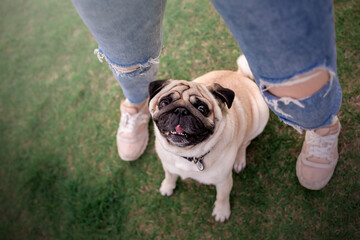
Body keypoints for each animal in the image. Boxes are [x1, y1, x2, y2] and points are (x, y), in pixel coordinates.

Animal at [148, 55, 268, 222]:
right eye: (164, 103)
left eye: (201, 109)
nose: (180, 110)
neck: (188, 155)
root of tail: (240, 75)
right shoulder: (168, 166)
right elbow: (170, 175)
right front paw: (167, 186)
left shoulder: (223, 181)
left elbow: (222, 197)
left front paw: (222, 211)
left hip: (259, 120)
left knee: (245, 143)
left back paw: (239, 160)